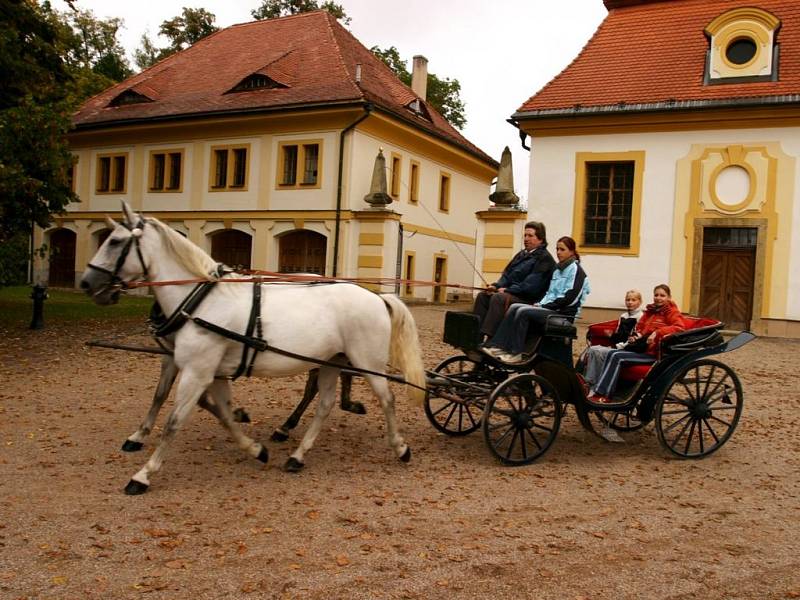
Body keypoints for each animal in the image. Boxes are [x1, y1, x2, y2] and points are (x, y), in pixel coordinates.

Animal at [82, 204, 428, 494]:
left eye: (114, 241)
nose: (86, 283)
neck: (201, 302)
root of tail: (376, 296)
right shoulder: (209, 372)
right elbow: (219, 413)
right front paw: (255, 448)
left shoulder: (196, 371)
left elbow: (174, 421)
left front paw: (144, 473)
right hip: (331, 360)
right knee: (324, 404)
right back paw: (297, 454)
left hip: (367, 362)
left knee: (387, 399)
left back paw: (400, 447)